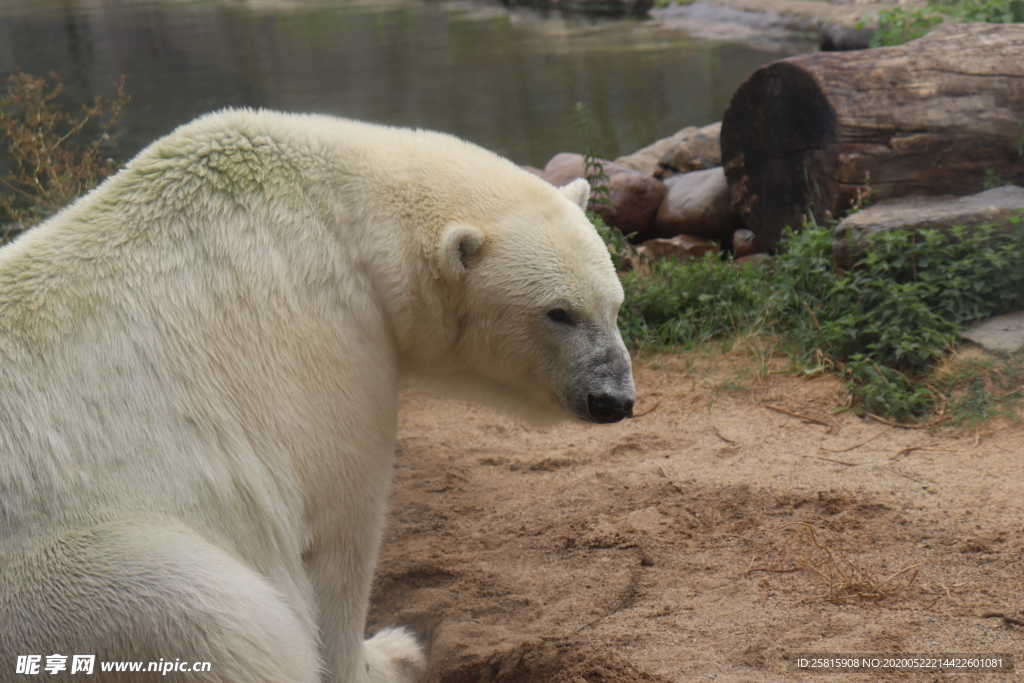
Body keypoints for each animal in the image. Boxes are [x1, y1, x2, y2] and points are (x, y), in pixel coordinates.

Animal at [0, 109, 634, 679]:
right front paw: (389, 655)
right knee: (215, 617)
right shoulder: (327, 349)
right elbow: (337, 540)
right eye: (559, 312)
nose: (614, 399)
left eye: (614, 303)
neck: (336, 211)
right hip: (82, 581)